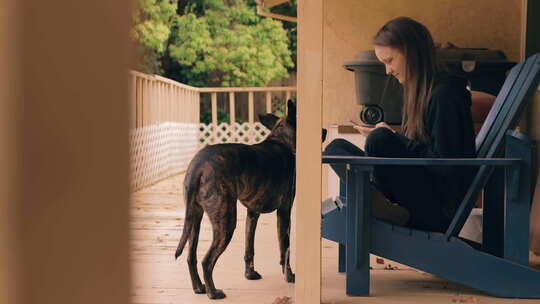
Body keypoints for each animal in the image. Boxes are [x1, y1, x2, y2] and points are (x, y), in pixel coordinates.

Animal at [175, 100, 324, 300]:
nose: (324, 131)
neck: (281, 140)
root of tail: (198, 166)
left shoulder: (252, 213)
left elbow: (249, 248)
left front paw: (250, 274)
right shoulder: (284, 213)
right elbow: (285, 250)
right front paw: (290, 276)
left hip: (194, 220)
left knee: (191, 257)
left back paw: (199, 288)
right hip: (226, 223)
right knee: (207, 261)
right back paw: (213, 292)